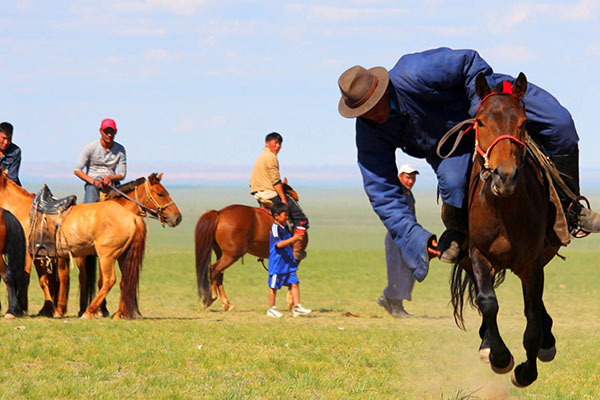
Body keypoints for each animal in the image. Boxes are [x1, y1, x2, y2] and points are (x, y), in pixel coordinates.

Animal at [0, 169, 146, 318]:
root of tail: (133, 217)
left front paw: (20, 309)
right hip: (123, 256)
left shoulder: (28, 253)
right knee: (126, 281)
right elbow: (46, 280)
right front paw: (48, 309)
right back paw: (119, 313)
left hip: (107, 256)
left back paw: (89, 311)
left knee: (109, 280)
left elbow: (28, 277)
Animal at [450, 72, 564, 388]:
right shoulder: (478, 255)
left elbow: (532, 316)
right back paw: (486, 344)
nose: (505, 177)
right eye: (480, 122)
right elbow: (488, 302)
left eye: (523, 123)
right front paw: (499, 357)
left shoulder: (532, 264)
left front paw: (526, 372)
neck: (503, 210)